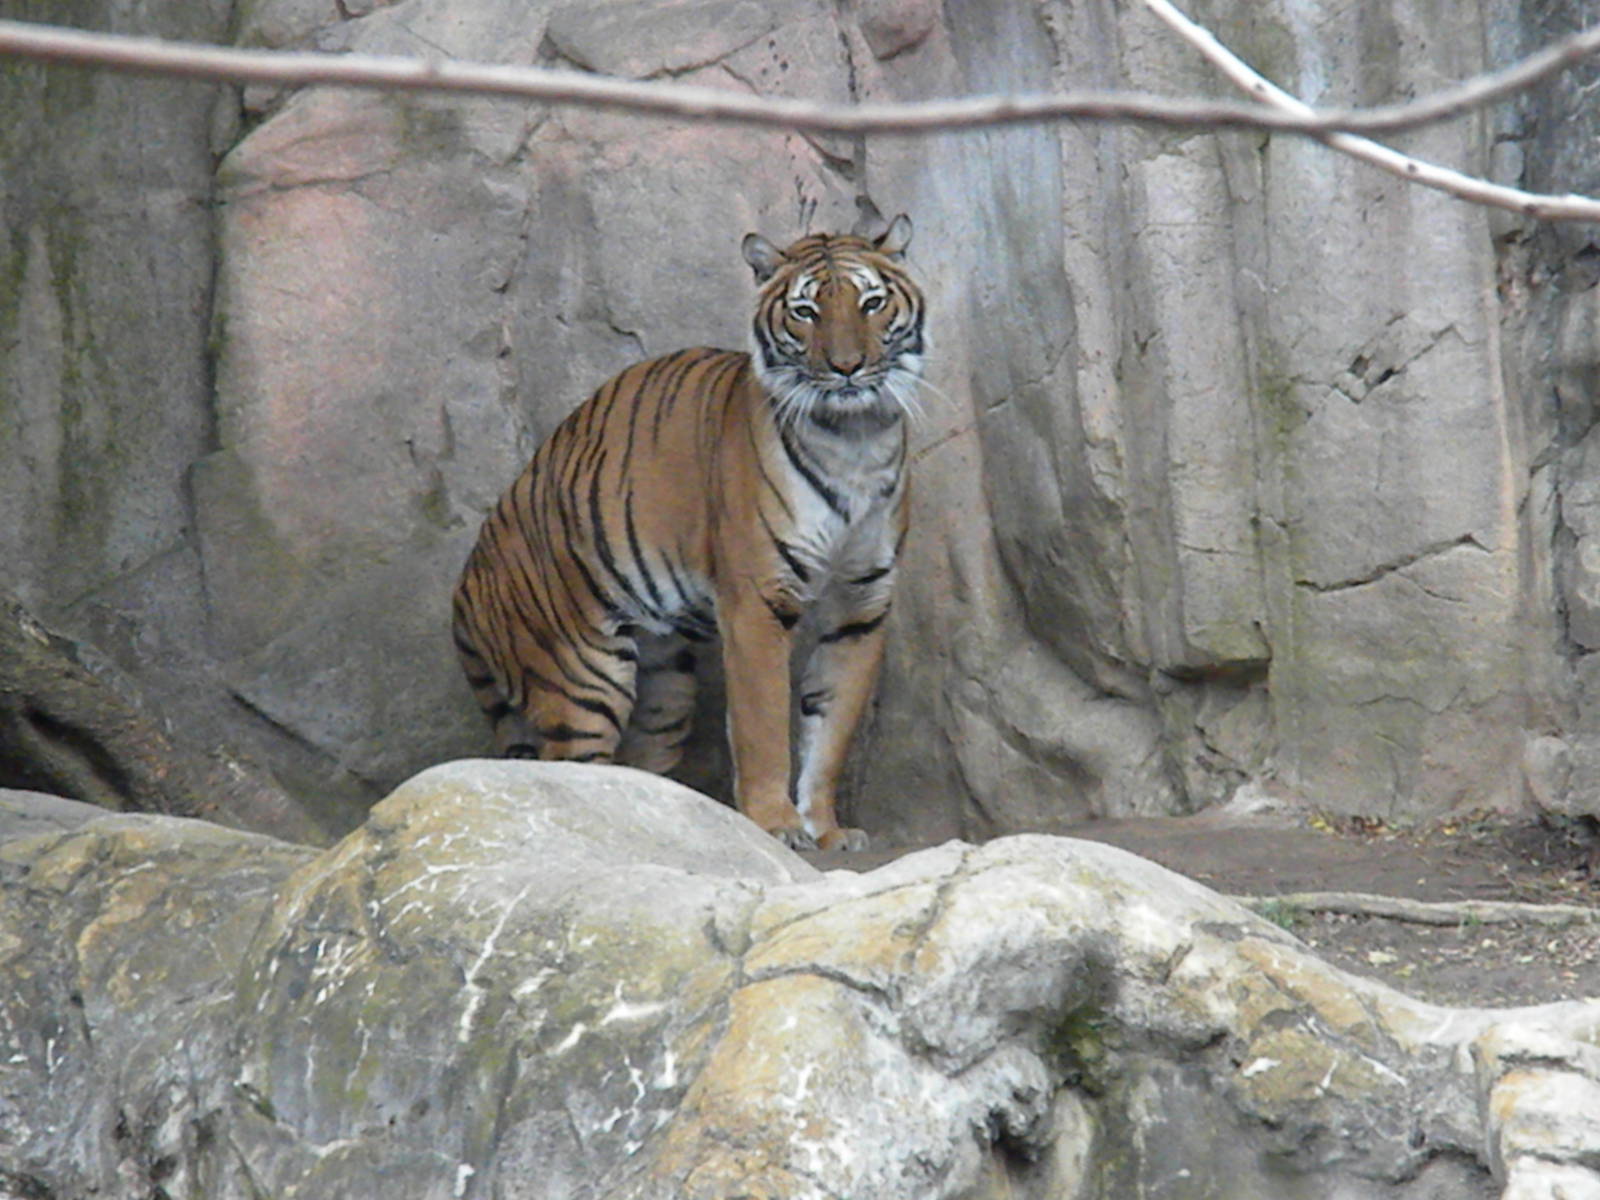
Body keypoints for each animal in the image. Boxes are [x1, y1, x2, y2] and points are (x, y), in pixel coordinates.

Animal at [451, 215, 925, 851]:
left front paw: (826, 829)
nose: (846, 367)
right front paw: (775, 824)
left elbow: (831, 727)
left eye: (871, 303)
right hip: (584, 681)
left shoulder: (862, 603)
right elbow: (763, 723)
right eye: (805, 312)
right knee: (571, 771)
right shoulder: (757, 600)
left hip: (665, 685)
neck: (856, 437)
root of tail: (464, 583)